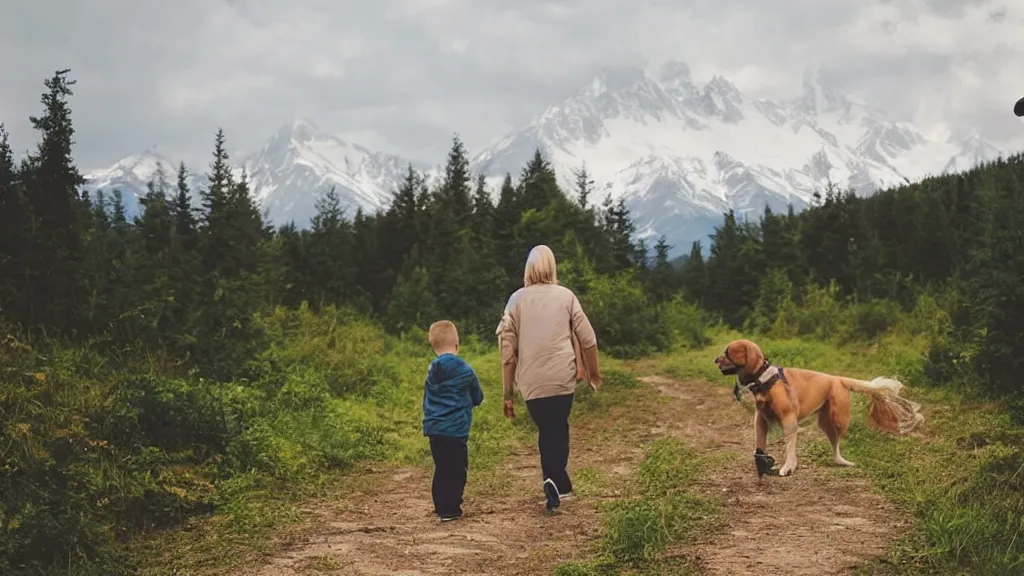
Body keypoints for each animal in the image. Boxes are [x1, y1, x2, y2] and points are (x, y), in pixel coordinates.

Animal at [712, 336, 929, 475]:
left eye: (728, 353)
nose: (715, 360)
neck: (763, 377)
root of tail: (838, 379)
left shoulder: (789, 419)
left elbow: (789, 447)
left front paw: (788, 467)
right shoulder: (761, 419)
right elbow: (760, 444)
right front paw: (762, 462)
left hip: (838, 418)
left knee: (838, 443)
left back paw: (842, 461)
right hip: (825, 422)